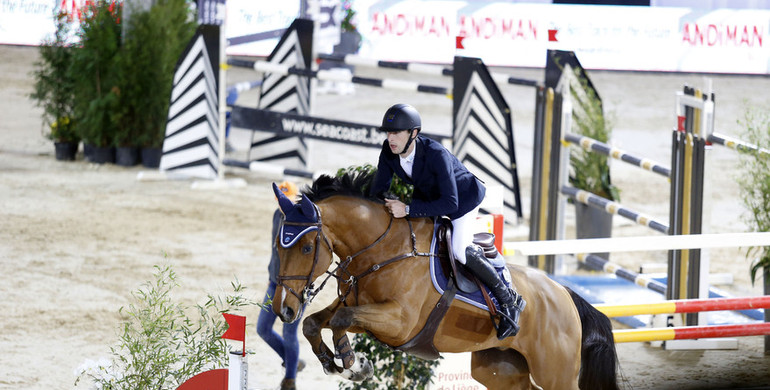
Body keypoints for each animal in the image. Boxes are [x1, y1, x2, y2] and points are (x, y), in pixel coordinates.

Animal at [270, 171, 616, 390]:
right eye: (277, 244)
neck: (380, 250)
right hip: (501, 369)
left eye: (306, 247)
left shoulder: (399, 322)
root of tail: (565, 294)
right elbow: (314, 323)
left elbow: (341, 320)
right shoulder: (360, 310)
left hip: (555, 374)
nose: (283, 309)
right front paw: (334, 362)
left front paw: (355, 365)